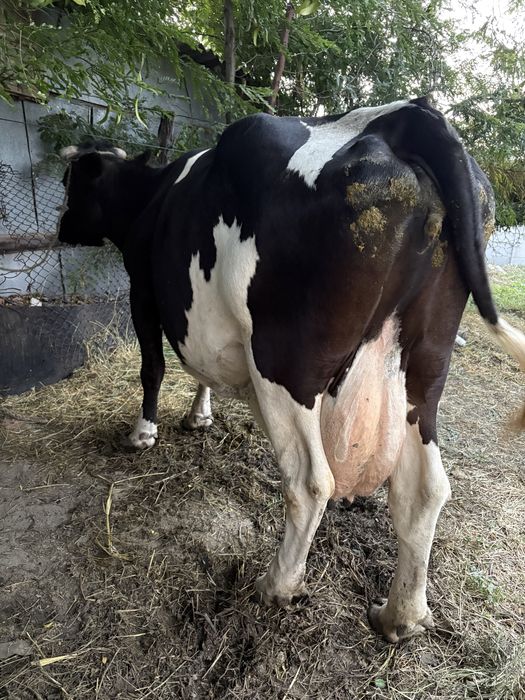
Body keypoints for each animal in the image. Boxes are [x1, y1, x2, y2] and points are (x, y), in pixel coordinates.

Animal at [58, 97, 525, 642]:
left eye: (73, 181)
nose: (60, 227)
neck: (151, 197)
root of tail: (406, 115)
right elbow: (202, 368)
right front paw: (200, 414)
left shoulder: (143, 292)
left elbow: (153, 366)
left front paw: (143, 433)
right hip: (425, 368)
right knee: (424, 489)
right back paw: (400, 615)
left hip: (284, 361)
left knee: (309, 481)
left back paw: (277, 584)